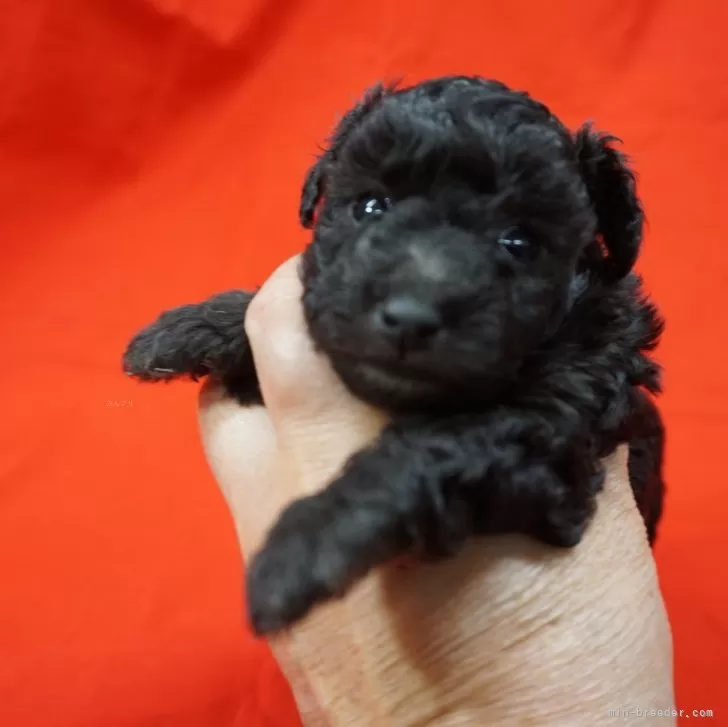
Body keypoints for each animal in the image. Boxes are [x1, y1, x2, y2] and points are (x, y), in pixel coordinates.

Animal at [123, 75, 664, 636]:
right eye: (370, 207)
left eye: (518, 242)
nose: (409, 317)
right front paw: (188, 328)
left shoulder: (554, 437)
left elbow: (428, 446)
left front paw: (309, 544)